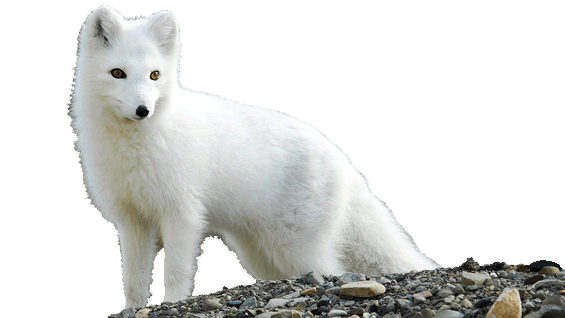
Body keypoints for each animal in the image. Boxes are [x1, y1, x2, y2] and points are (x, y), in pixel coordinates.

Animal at [69, 5, 440, 310]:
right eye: (118, 73)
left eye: (154, 75)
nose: (143, 110)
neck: (132, 147)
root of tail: (341, 158)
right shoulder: (131, 220)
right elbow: (132, 279)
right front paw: (131, 309)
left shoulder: (182, 213)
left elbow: (175, 270)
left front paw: (173, 302)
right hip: (259, 253)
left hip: (296, 248)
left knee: (332, 271)